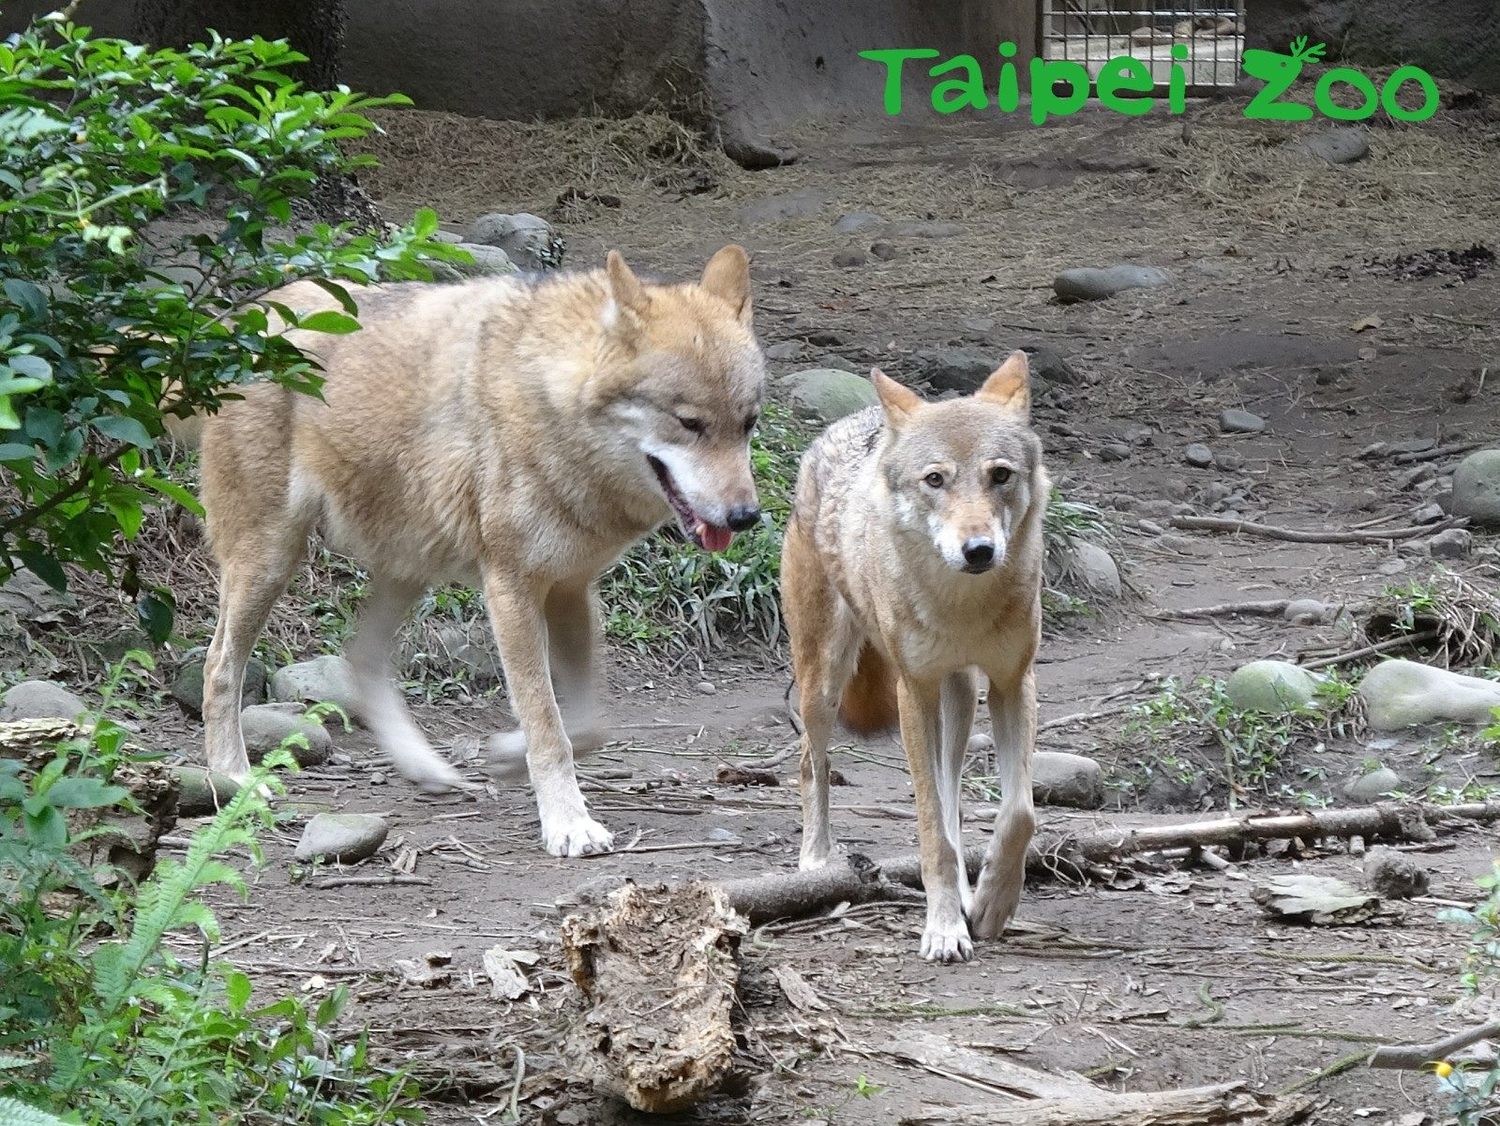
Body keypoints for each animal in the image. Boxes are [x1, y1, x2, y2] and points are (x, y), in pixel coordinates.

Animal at [195, 245, 768, 857]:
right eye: (690, 424)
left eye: (747, 424)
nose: (746, 516)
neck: (547, 403)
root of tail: (239, 318)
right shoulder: (511, 588)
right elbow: (550, 725)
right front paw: (568, 824)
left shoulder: (569, 588)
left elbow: (587, 726)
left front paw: (507, 757)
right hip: (273, 560)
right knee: (219, 667)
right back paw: (234, 779)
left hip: (408, 569)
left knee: (360, 660)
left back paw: (427, 769)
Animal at [786, 356, 1044, 965]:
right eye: (935, 480)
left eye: (1000, 475)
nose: (979, 550)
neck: (963, 608)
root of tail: (851, 423)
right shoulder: (913, 690)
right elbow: (930, 829)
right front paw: (945, 929)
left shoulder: (1013, 682)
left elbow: (1017, 814)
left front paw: (991, 903)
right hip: (823, 686)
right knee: (811, 764)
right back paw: (815, 862)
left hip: (962, 699)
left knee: (953, 796)